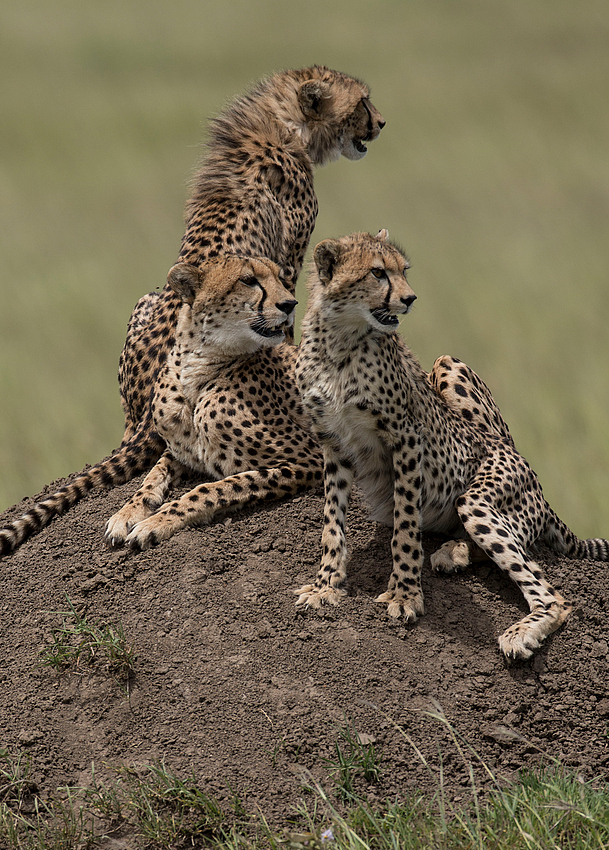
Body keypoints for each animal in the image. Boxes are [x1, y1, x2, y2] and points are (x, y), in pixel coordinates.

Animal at [104, 255, 324, 548]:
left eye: (280, 277)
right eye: (248, 280)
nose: (290, 304)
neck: (198, 368)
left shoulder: (310, 459)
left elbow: (215, 488)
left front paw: (156, 522)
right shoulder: (183, 451)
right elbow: (153, 475)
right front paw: (127, 512)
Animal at [292, 229, 604, 660]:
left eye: (403, 270)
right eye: (377, 273)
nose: (410, 298)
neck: (340, 341)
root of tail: (534, 479)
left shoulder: (406, 437)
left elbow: (405, 525)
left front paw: (404, 594)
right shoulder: (332, 443)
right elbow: (332, 525)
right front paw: (326, 585)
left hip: (475, 479)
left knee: (553, 595)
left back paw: (520, 629)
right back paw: (452, 553)